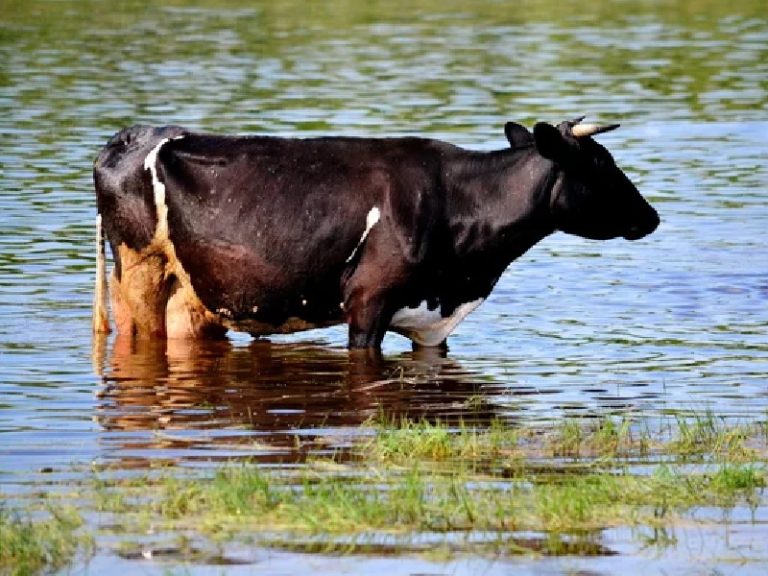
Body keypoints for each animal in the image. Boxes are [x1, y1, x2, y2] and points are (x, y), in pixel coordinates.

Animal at [94, 119, 660, 348]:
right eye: (600, 164)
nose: (652, 217)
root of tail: (130, 135)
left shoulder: (432, 322)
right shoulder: (368, 302)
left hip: (192, 299)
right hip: (138, 276)